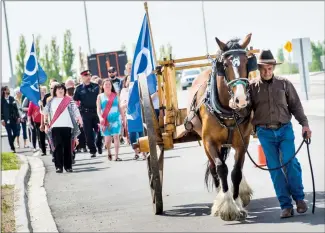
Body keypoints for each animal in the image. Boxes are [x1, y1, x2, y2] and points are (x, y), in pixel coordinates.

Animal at [186, 32, 254, 220]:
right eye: (225, 64)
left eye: (247, 61)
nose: (241, 99)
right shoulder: (209, 141)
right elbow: (221, 169)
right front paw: (227, 206)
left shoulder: (243, 142)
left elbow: (236, 171)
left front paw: (237, 202)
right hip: (206, 144)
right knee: (213, 167)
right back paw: (220, 195)